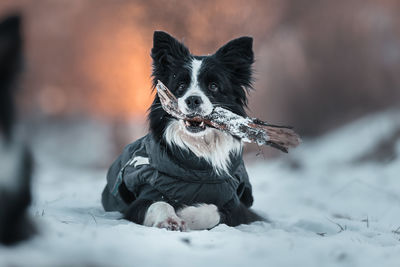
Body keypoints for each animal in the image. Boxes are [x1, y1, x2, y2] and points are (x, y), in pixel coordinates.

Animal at [101, 31, 264, 231]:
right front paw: (171, 219)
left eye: (213, 86)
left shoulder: (236, 206)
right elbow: (159, 203)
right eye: (180, 86)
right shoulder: (139, 200)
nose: (193, 100)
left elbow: (214, 210)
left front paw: (187, 213)